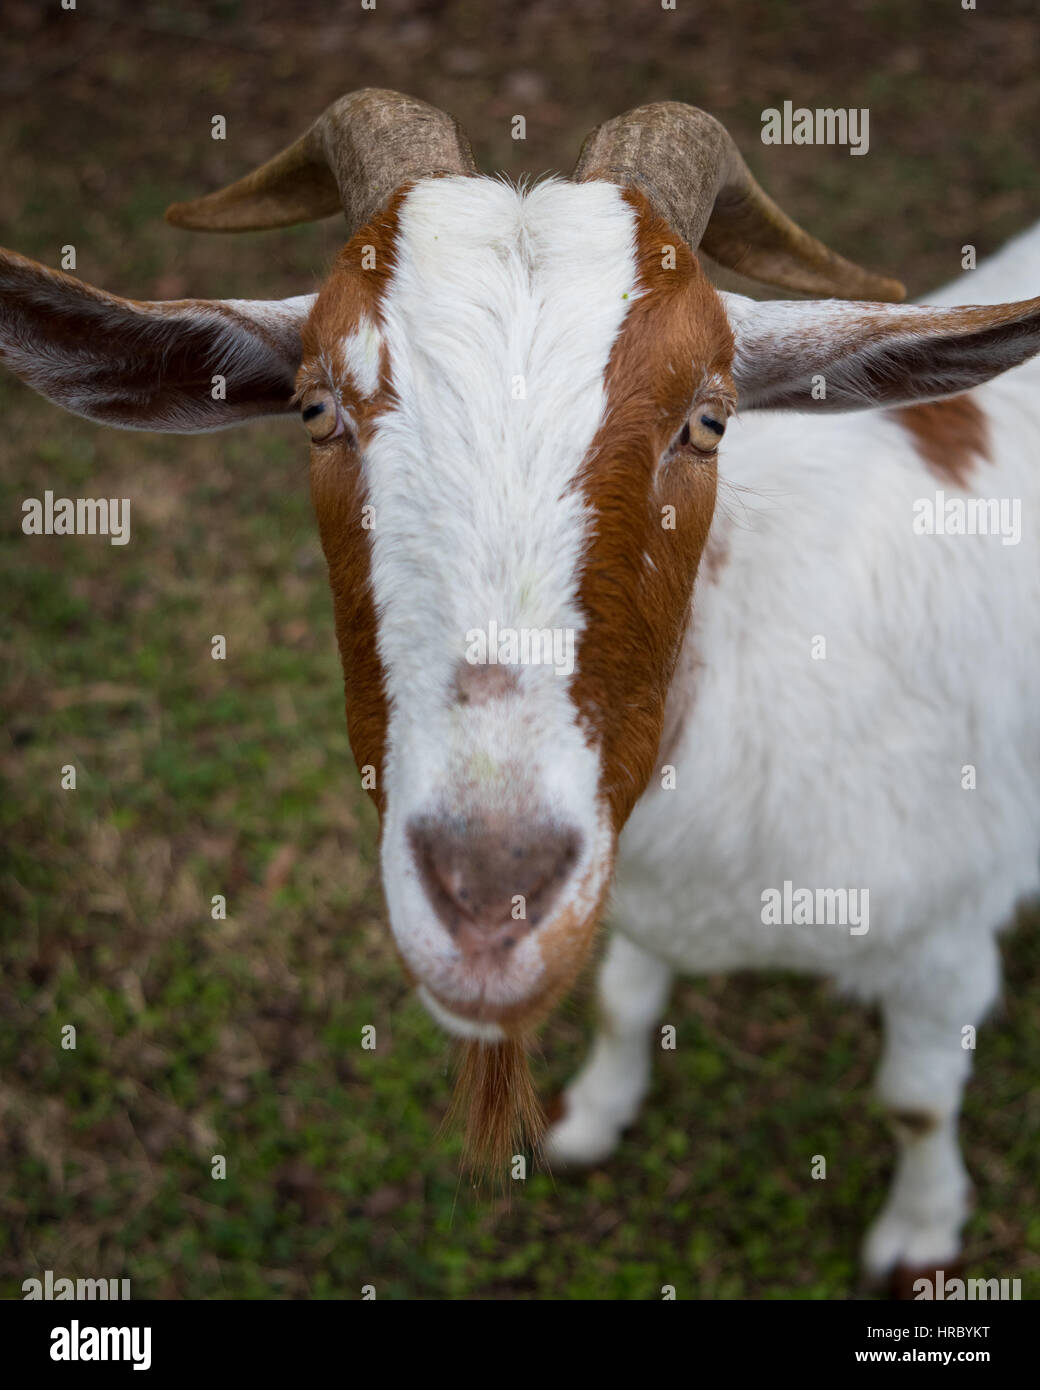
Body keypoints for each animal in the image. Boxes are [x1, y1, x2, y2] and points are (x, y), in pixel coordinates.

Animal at [3, 90, 1038, 1294]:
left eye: (710, 417)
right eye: (315, 408)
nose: (490, 899)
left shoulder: (946, 935)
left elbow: (915, 1102)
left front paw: (918, 1235)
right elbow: (628, 999)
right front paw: (594, 1117)